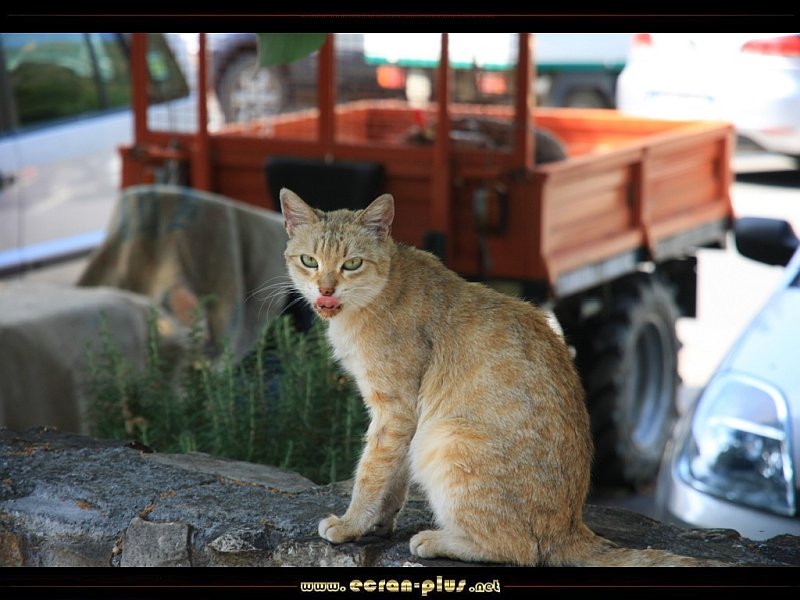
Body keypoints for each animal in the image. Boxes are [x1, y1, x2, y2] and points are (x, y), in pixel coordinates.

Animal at [279, 187, 723, 567]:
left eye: (351, 263)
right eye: (309, 261)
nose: (325, 290)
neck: (380, 291)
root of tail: (572, 528)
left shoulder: (396, 412)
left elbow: (372, 473)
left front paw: (350, 524)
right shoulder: (401, 421)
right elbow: (393, 480)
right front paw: (377, 525)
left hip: (443, 440)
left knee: (519, 550)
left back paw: (437, 539)